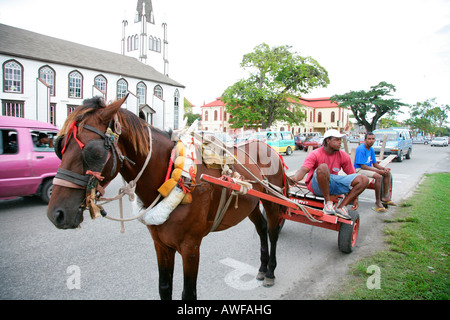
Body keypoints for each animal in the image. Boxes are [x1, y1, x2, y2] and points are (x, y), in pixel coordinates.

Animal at [47, 95, 290, 300]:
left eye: (95, 152)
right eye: (59, 146)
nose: (56, 214)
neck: (175, 173)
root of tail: (267, 146)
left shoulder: (191, 247)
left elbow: (188, 294)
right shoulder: (161, 244)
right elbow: (164, 287)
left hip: (271, 201)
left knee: (272, 231)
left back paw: (270, 271)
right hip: (250, 204)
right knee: (261, 228)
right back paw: (261, 268)